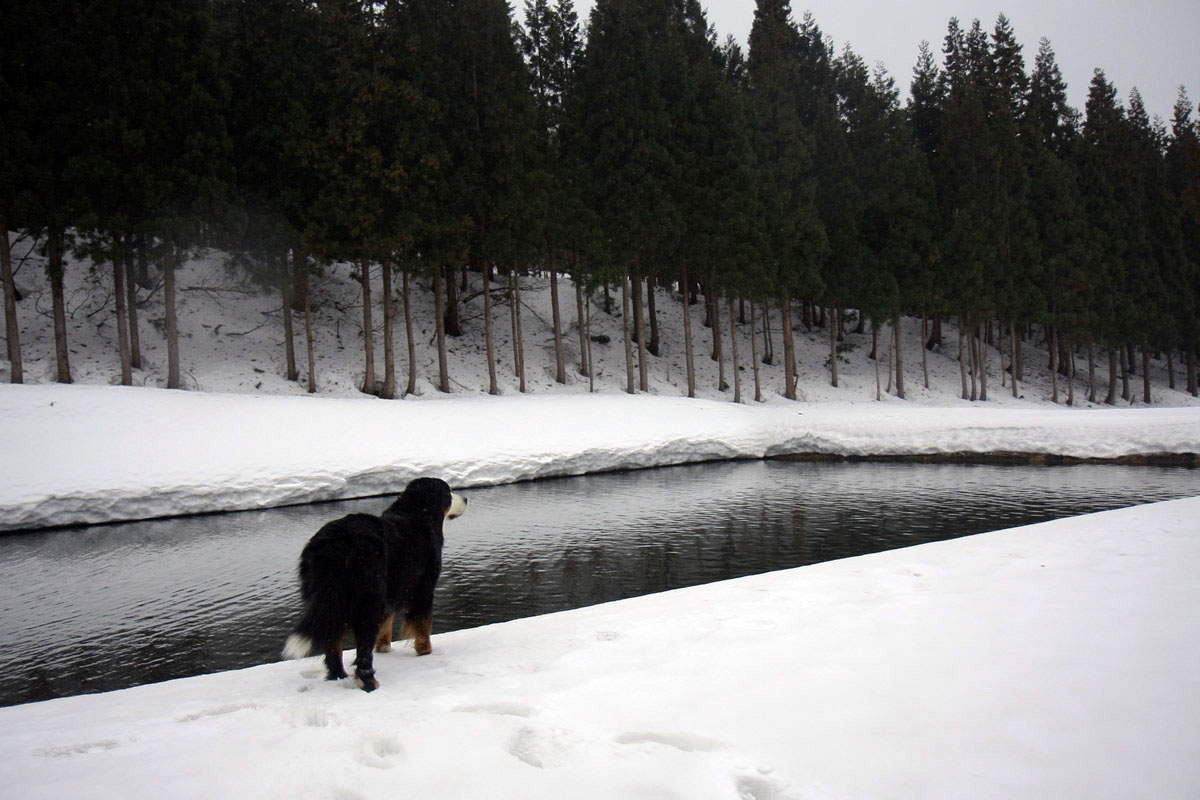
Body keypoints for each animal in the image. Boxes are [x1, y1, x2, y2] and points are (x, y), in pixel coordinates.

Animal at [283, 479, 465, 690]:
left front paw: (384, 647)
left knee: (332, 642)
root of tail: (334, 541)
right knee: (362, 649)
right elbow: (422, 627)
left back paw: (338, 676)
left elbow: (386, 624)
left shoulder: (393, 589)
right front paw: (425, 652)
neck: (418, 513)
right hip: (368, 600)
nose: (466, 498)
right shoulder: (424, 589)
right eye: (449, 493)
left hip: (332, 600)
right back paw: (369, 682)